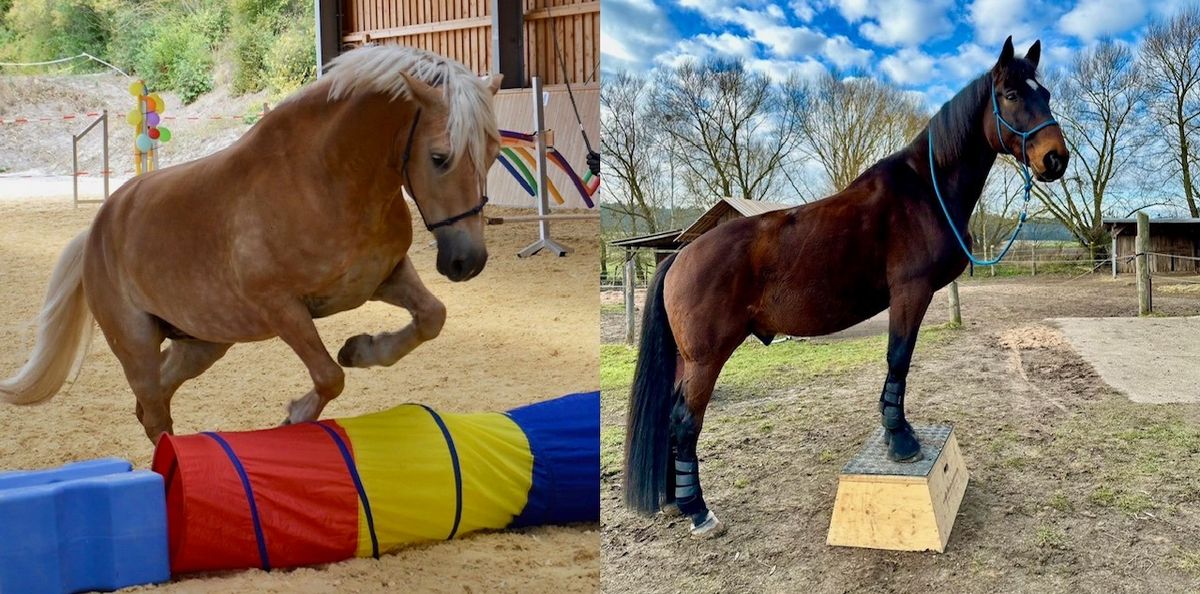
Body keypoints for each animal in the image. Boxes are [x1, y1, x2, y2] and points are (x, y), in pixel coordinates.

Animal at [0, 46, 501, 441]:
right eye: (439, 157)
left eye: (494, 154)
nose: (468, 261)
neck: (328, 181)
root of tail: (97, 230)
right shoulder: (282, 308)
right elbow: (329, 375)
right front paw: (297, 413)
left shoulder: (384, 277)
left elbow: (432, 317)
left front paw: (362, 349)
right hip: (137, 345)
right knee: (155, 414)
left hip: (201, 344)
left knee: (153, 401)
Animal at [624, 37, 1065, 540]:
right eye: (1010, 94)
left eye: (1045, 93)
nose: (1056, 158)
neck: (924, 189)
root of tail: (679, 256)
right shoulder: (910, 293)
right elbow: (898, 360)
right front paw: (900, 439)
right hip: (705, 359)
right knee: (684, 422)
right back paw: (698, 509)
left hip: (686, 359)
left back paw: (675, 501)